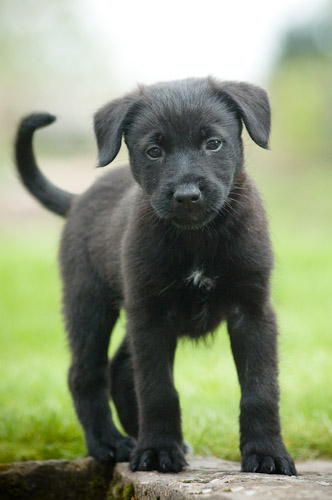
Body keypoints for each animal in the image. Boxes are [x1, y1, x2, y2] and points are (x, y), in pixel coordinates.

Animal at [14, 76, 296, 474]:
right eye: (153, 151)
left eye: (213, 143)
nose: (187, 195)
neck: (197, 237)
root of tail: (78, 199)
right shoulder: (151, 315)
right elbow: (157, 389)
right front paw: (159, 450)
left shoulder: (252, 311)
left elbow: (259, 389)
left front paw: (267, 453)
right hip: (89, 303)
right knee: (87, 373)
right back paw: (110, 443)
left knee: (118, 369)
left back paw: (137, 437)